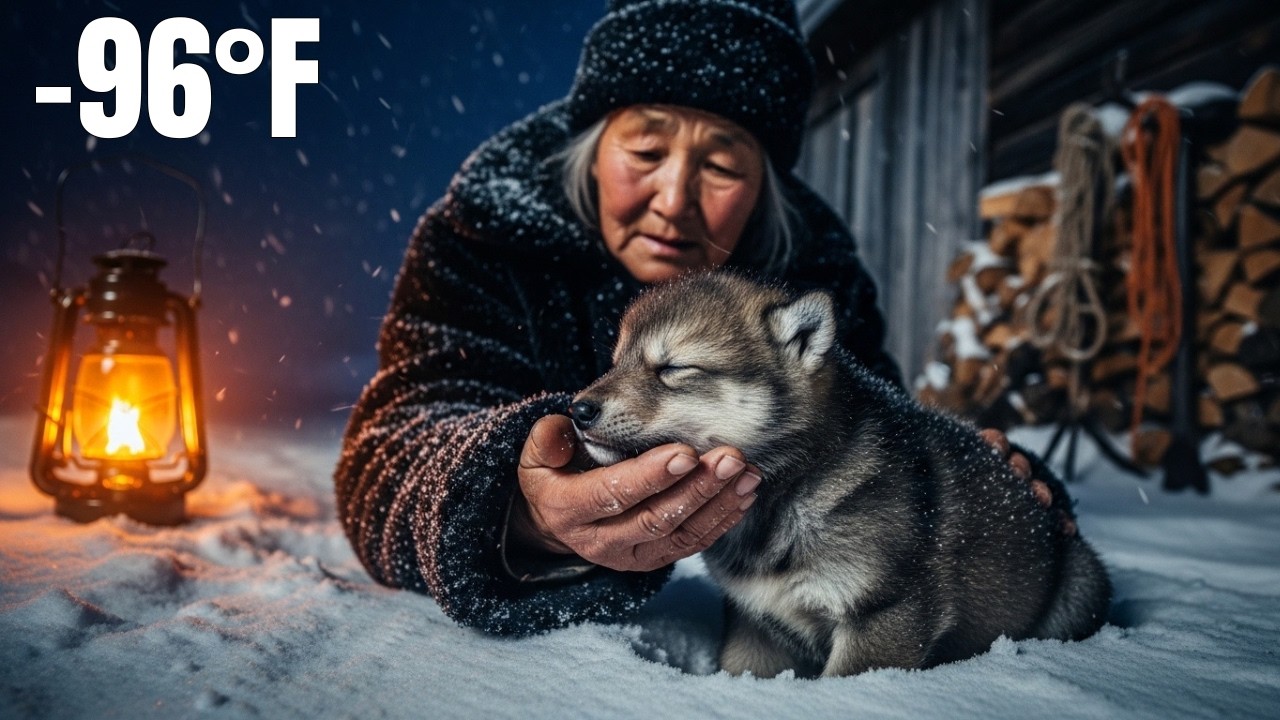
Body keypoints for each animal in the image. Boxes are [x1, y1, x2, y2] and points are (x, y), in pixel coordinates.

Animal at [569, 272, 1111, 678]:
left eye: (673, 368)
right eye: (614, 363)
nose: (577, 409)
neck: (786, 493)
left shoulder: (883, 617)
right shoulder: (755, 623)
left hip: (1078, 588)